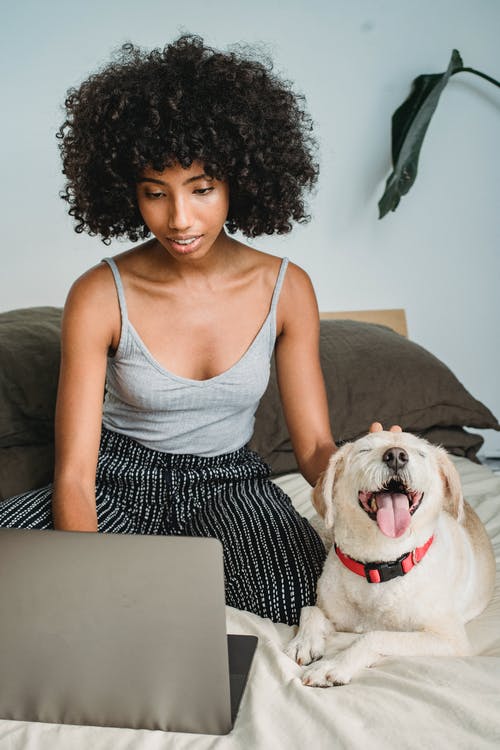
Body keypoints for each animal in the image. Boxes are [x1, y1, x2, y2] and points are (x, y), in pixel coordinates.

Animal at [286, 434, 496, 688]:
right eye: (365, 450)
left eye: (420, 453)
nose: (396, 455)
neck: (379, 564)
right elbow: (310, 610)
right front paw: (304, 641)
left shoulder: (449, 640)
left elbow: (375, 636)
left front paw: (333, 665)